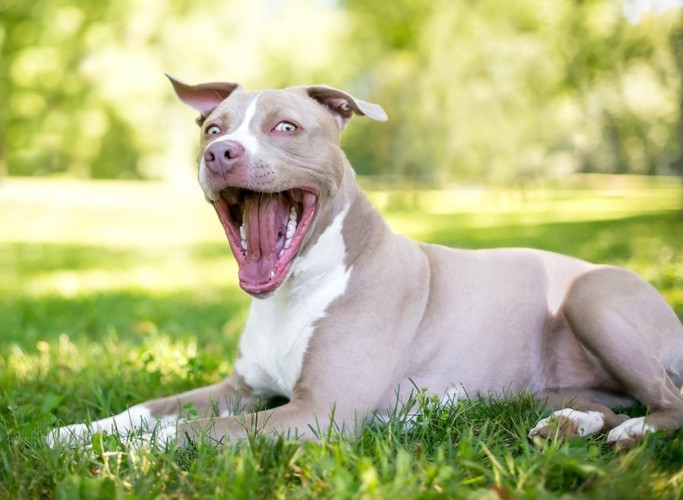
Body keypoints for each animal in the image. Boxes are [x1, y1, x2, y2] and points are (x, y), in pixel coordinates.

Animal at [48, 75, 683, 450]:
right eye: (213, 127)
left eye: (285, 126)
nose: (220, 153)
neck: (299, 288)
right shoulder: (241, 387)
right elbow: (151, 409)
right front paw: (77, 432)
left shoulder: (318, 411)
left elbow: (192, 430)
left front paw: (121, 454)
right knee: (601, 403)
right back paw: (572, 423)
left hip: (592, 299)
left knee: (667, 403)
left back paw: (633, 430)